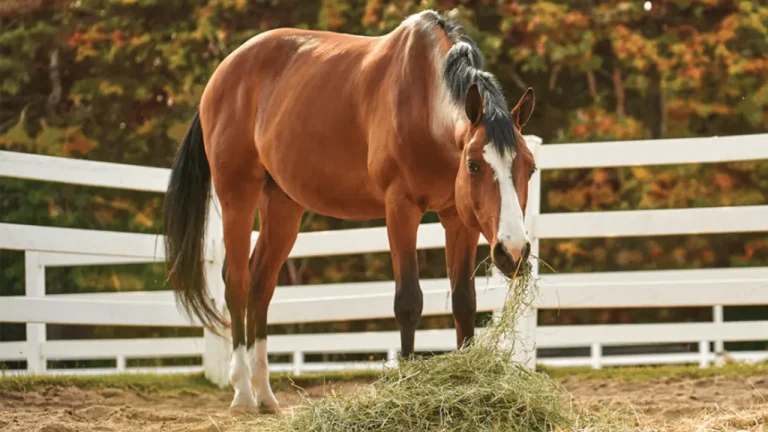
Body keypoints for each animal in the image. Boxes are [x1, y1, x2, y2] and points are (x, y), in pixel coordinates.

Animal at [162, 9, 536, 412]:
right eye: (474, 165)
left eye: (530, 168)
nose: (514, 251)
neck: (423, 100)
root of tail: (222, 74)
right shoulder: (400, 207)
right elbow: (408, 301)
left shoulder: (459, 218)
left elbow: (464, 302)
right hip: (237, 195)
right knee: (237, 282)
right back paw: (243, 393)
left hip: (283, 205)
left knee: (261, 284)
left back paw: (265, 394)